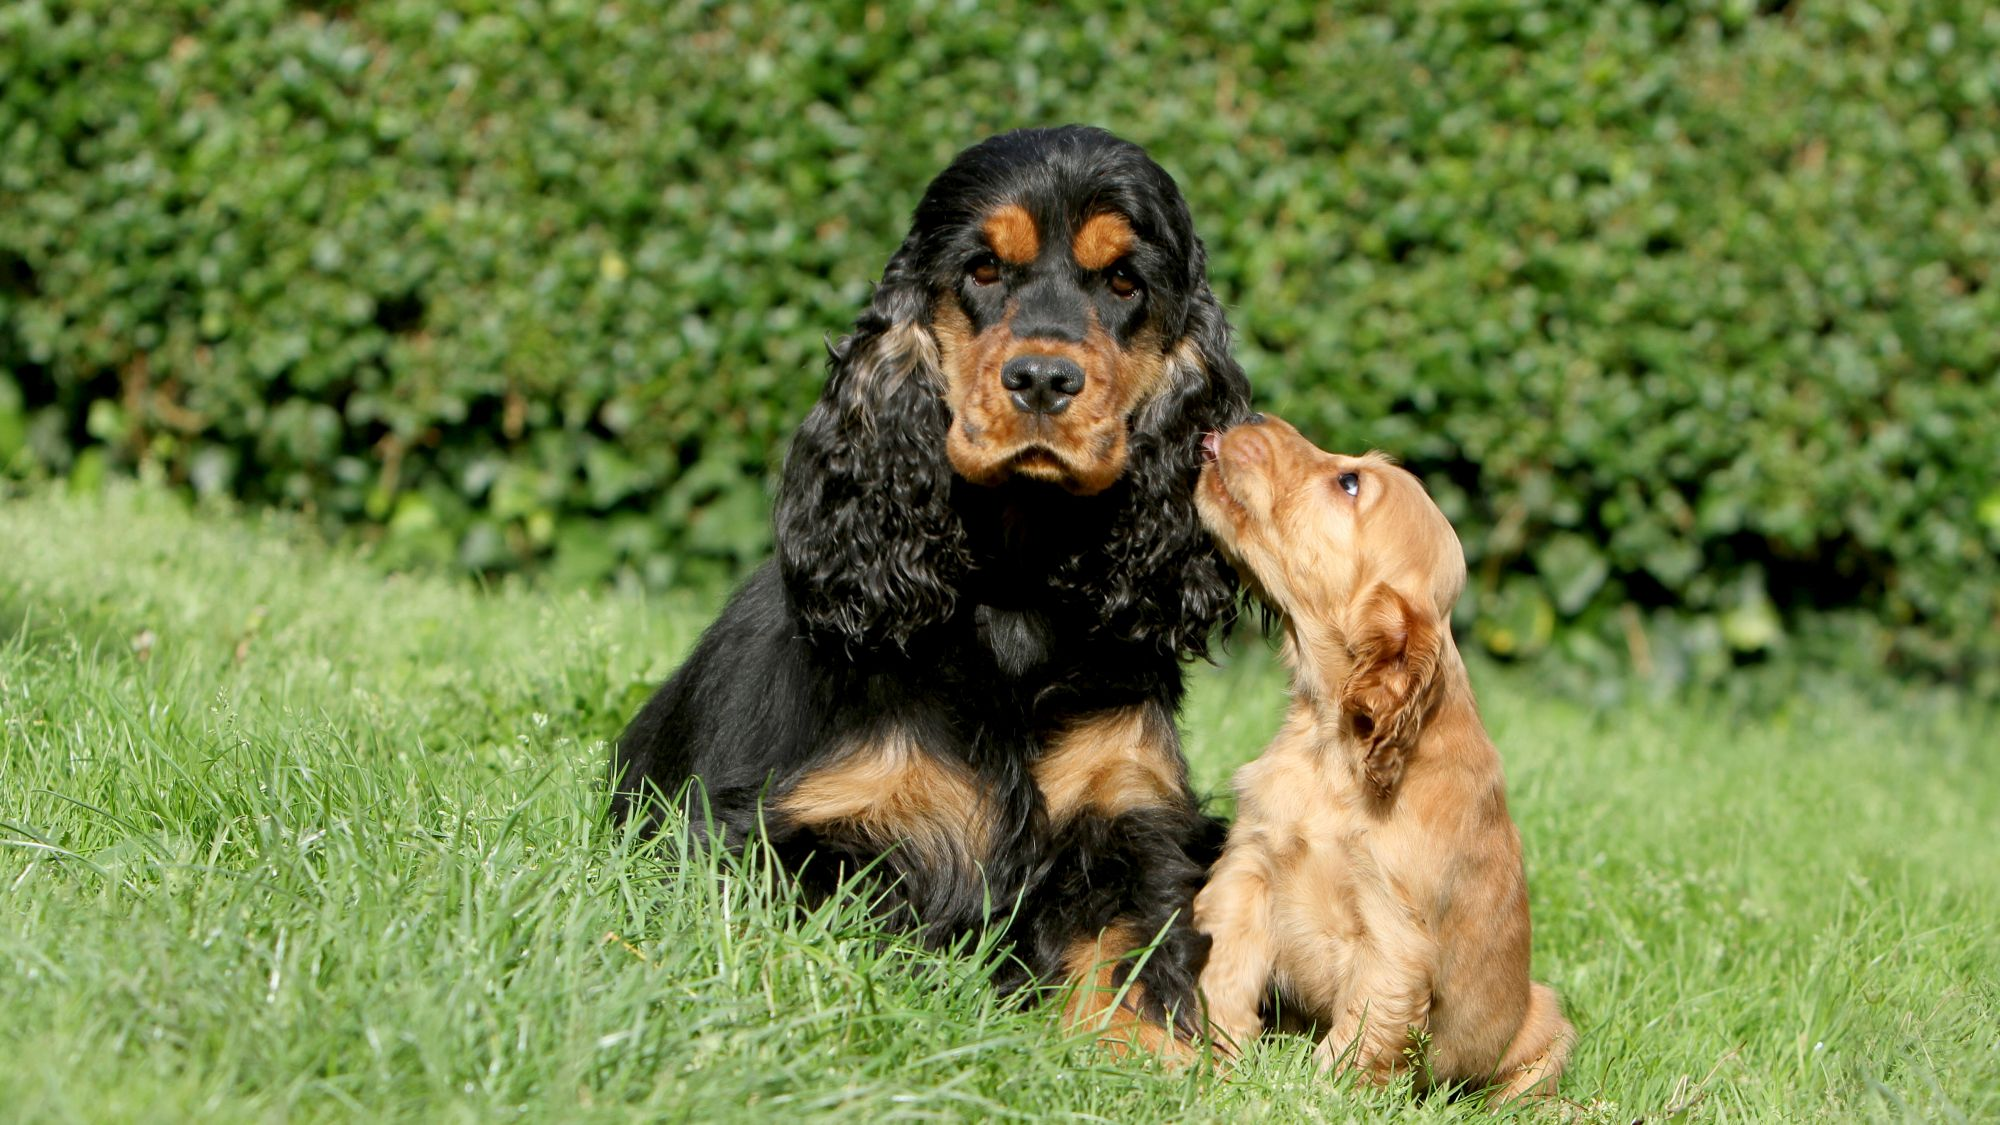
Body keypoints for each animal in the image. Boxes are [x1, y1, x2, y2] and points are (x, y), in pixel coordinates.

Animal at [616, 127, 1256, 1048]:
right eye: (983, 269)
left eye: (1124, 281)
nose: (1041, 379)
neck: (1015, 590)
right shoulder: (792, 834)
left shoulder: (1133, 817)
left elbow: (1132, 955)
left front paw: (1148, 1056)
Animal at [1184, 414, 1576, 1096]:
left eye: (1349, 483)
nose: (1253, 416)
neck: (1331, 744)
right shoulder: (1250, 868)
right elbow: (1227, 968)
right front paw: (1220, 1059)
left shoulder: (1394, 933)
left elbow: (1365, 1028)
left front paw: (1314, 1094)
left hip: (1545, 1026)